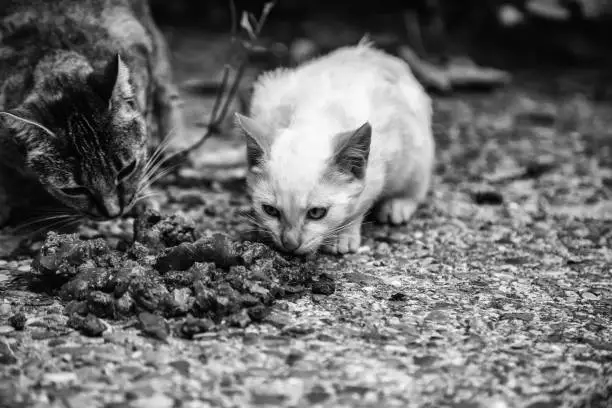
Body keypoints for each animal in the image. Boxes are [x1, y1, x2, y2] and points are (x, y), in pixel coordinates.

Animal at [235, 39, 436, 253]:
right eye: (270, 210)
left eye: (316, 213)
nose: (289, 244)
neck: (316, 117)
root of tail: (380, 55)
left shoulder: (377, 173)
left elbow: (357, 208)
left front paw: (343, 236)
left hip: (416, 153)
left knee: (417, 184)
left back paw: (399, 204)